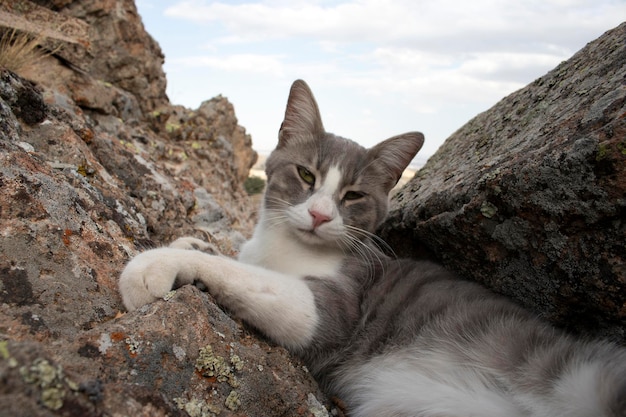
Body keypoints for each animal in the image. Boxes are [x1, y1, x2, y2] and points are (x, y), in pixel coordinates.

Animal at [120, 79, 624, 416]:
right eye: (306, 174)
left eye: (354, 196)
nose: (320, 215)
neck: (280, 245)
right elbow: (235, 258)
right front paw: (194, 238)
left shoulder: (333, 309)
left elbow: (254, 277)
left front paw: (155, 263)